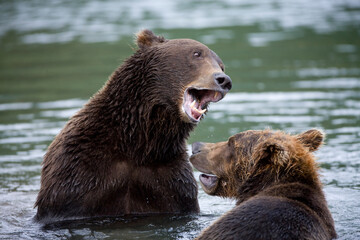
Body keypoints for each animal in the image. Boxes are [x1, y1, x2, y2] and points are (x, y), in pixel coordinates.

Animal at [33, 30, 231, 223]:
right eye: (197, 53)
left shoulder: (170, 179)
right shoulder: (77, 172)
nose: (223, 80)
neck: (135, 142)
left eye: (221, 65)